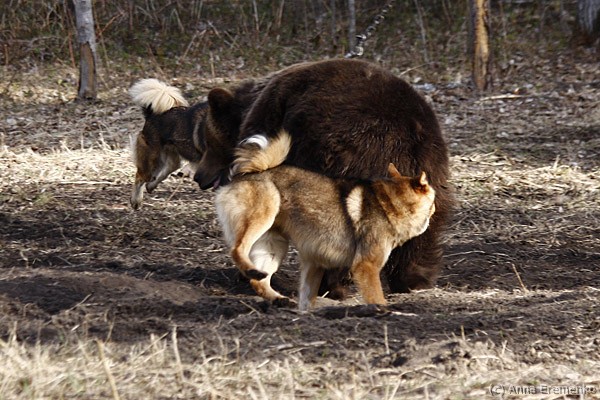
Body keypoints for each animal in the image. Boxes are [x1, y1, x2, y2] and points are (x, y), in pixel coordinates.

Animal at [215, 130, 436, 311]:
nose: (435, 207)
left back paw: (278, 298)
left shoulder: (314, 262)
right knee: (237, 249)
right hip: (263, 215)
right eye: (432, 198)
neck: (389, 204)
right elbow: (377, 298)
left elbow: (307, 298)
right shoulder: (366, 265)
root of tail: (248, 172)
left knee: (259, 282)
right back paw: (251, 271)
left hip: (272, 246)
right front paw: (386, 312)